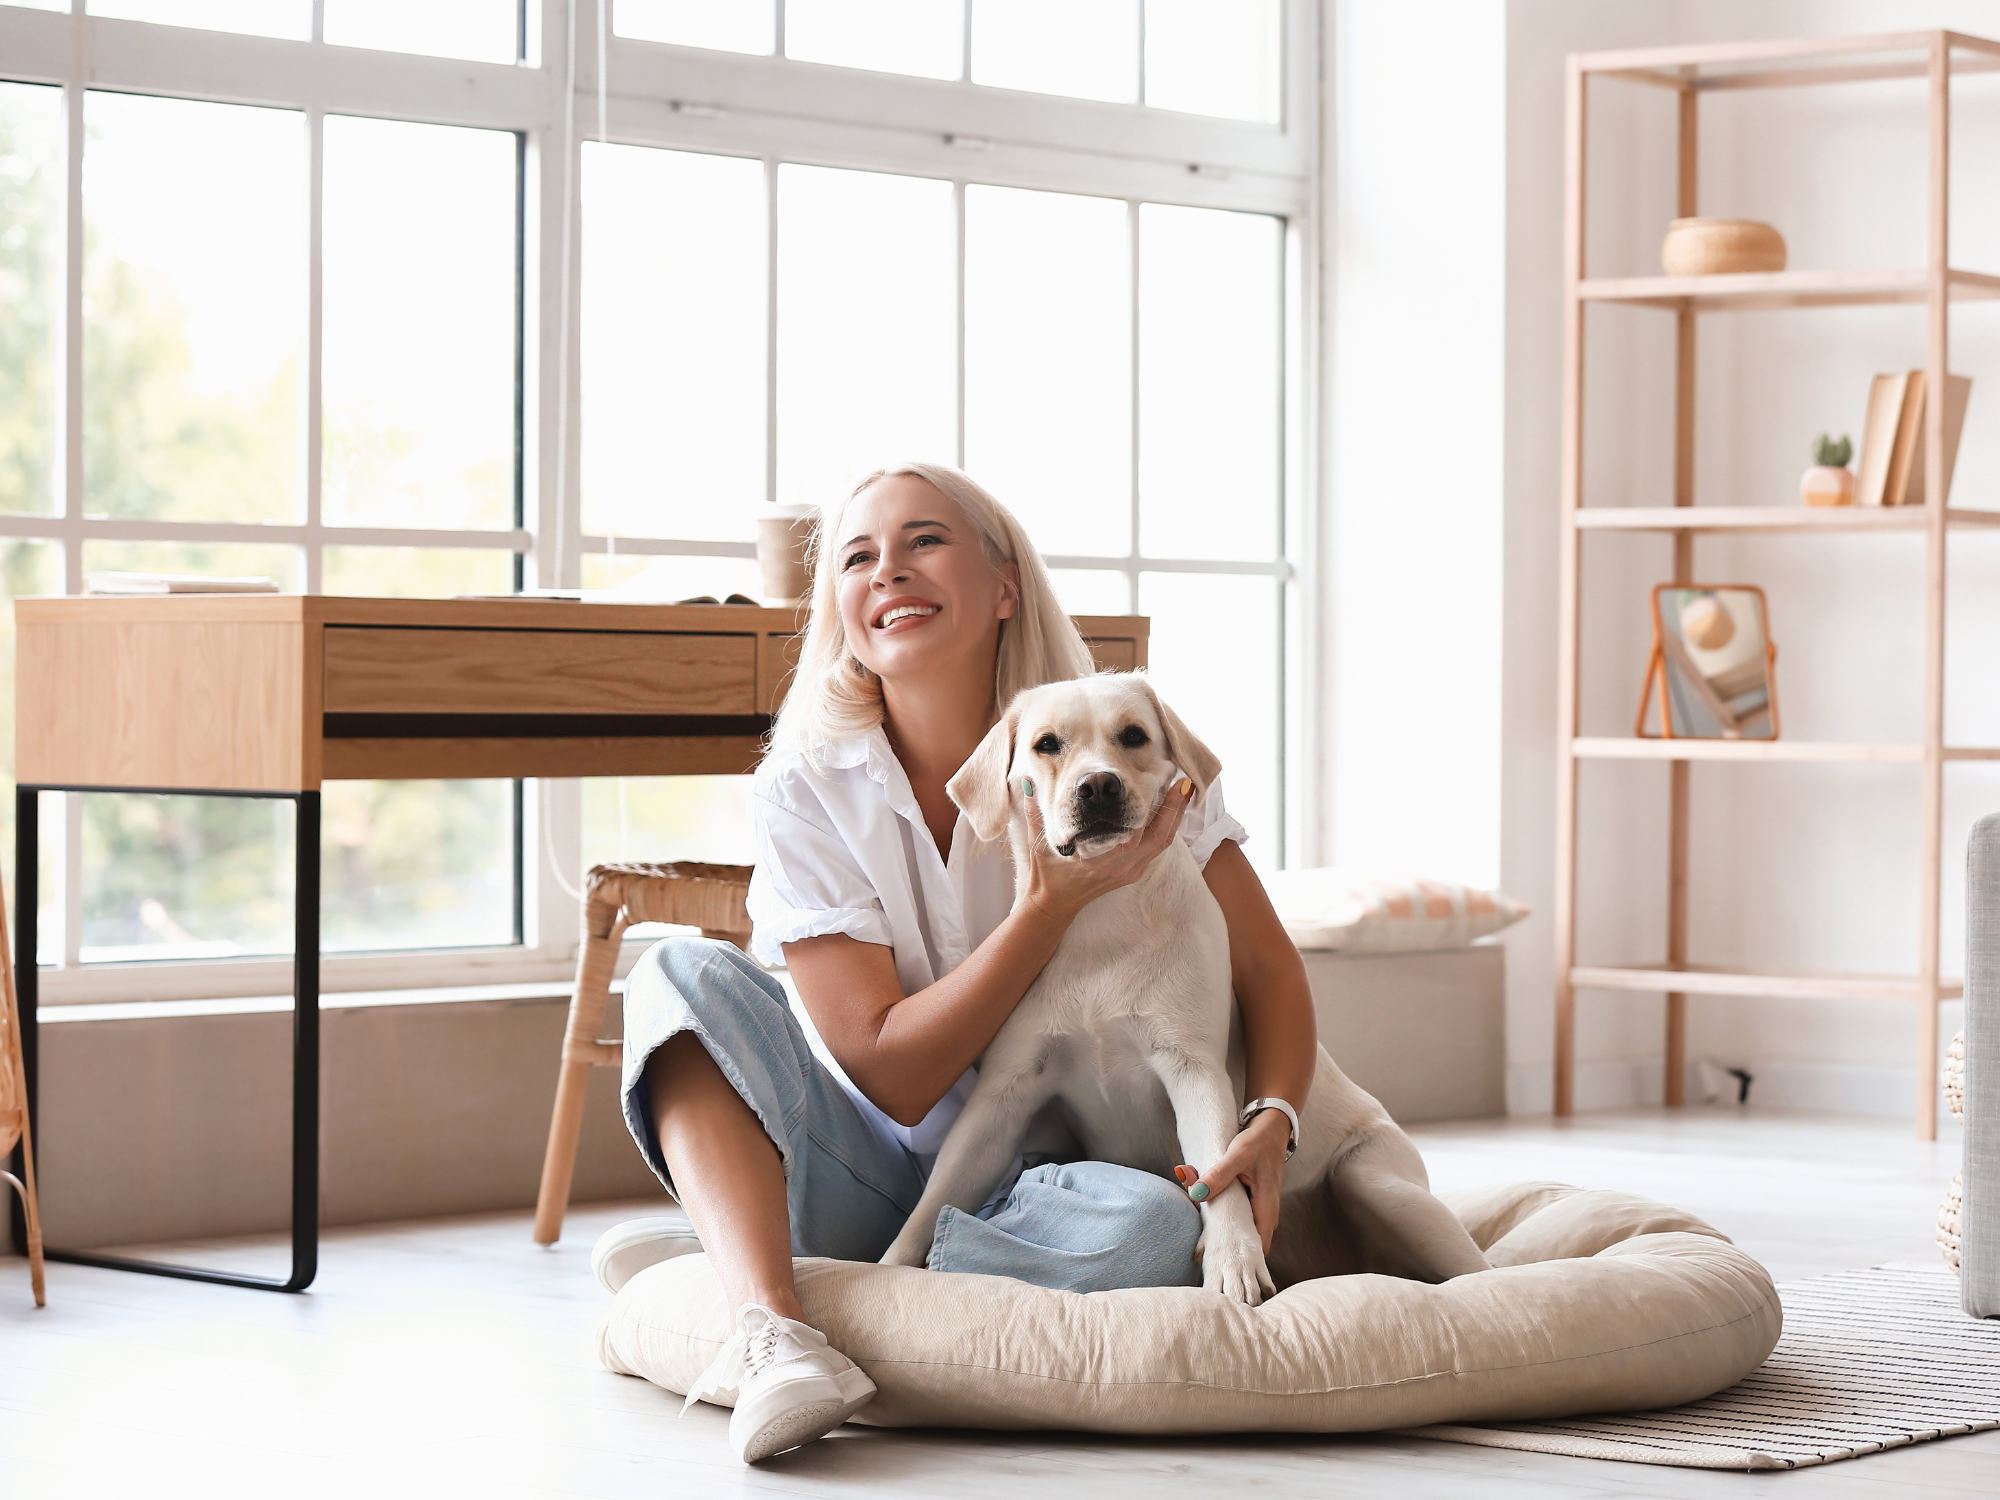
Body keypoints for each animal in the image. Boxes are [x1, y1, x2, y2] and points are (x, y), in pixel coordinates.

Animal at [880, 680, 1488, 1304]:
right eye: (1046, 743)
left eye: (1134, 735)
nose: (1098, 785)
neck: (1102, 919)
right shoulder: (1004, 1093)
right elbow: (933, 1202)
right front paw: (885, 1268)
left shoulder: (1192, 1068)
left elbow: (1220, 1174)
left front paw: (1233, 1261)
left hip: (1379, 1182)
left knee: (1480, 1269)